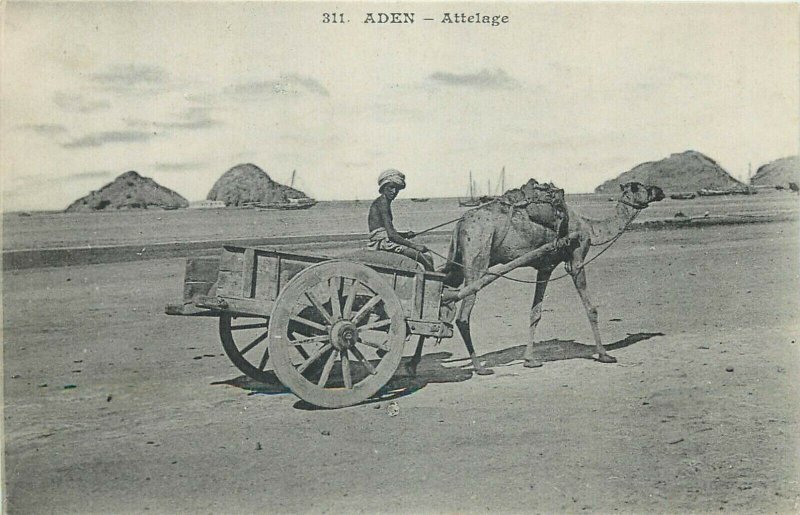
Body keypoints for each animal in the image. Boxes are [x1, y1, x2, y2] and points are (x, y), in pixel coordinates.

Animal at [406, 180, 664, 374]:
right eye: (640, 186)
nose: (660, 191)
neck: (590, 228)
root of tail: (460, 224)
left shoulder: (545, 266)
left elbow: (535, 313)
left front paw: (530, 360)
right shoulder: (577, 258)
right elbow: (590, 308)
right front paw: (604, 354)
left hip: (457, 262)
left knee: (435, 298)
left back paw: (412, 364)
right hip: (476, 259)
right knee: (462, 315)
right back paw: (479, 367)